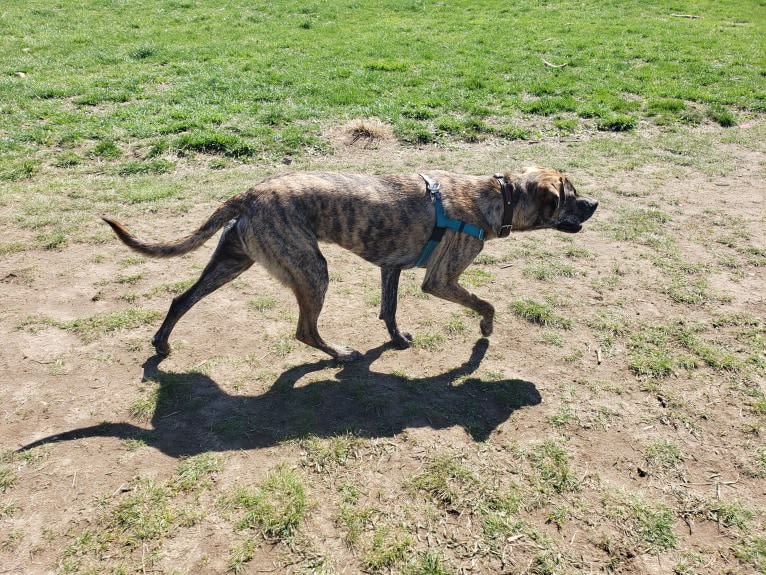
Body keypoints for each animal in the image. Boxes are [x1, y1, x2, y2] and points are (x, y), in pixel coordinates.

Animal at [103, 166, 600, 362]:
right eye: (572, 196)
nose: (596, 204)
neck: (498, 196)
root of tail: (250, 193)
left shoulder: (391, 268)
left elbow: (389, 311)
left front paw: (397, 340)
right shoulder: (441, 280)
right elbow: (487, 303)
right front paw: (485, 332)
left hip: (232, 261)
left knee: (180, 299)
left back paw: (162, 345)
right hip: (312, 270)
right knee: (305, 331)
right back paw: (340, 353)